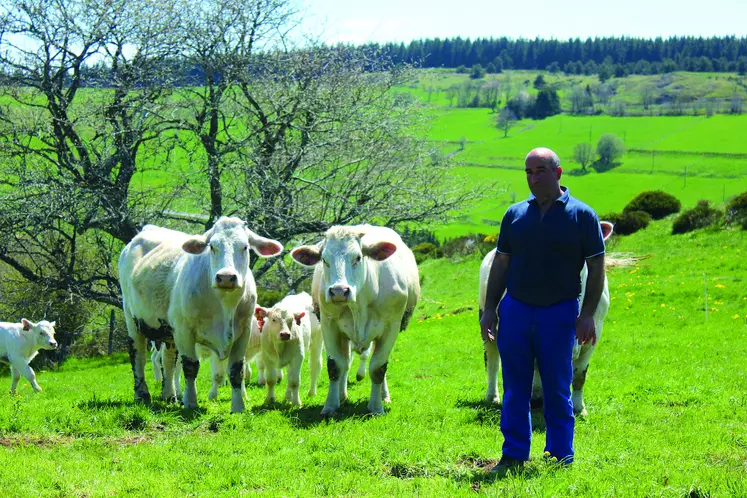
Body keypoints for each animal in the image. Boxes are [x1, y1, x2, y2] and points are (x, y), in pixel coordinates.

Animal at [120, 216, 284, 410]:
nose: (226, 277)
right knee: (138, 356)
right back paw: (142, 395)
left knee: (167, 360)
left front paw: (238, 406)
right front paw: (191, 402)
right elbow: (190, 367)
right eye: (212, 246)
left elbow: (237, 370)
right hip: (132, 318)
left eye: (245, 247)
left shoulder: (243, 332)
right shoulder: (184, 330)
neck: (225, 306)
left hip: (169, 331)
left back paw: (169, 395)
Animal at [290, 226, 420, 416]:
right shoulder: (329, 325)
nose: (338, 291)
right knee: (345, 363)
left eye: (358, 257)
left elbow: (378, 367)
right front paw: (330, 406)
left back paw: (384, 395)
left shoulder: (391, 326)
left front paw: (376, 407)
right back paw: (342, 395)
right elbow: (335, 366)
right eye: (324, 259)